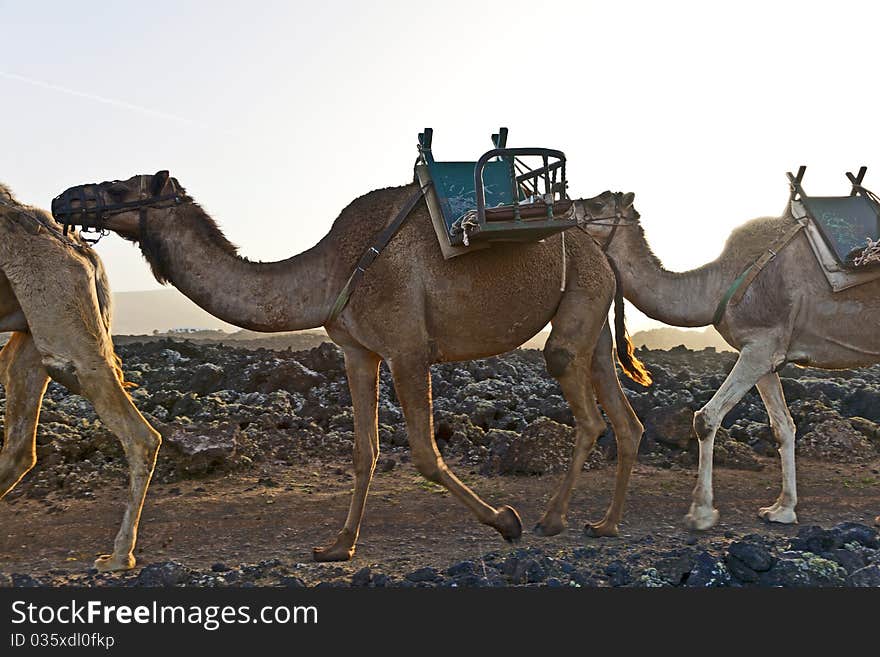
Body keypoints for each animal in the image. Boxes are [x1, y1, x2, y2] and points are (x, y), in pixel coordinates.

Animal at [0, 183, 162, 568]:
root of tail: (82, 250)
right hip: (35, 326)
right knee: (20, 446)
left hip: (62, 328)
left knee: (140, 436)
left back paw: (119, 556)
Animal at [51, 169, 648, 560]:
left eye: (119, 186)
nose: (63, 200)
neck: (332, 269)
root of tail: (601, 251)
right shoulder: (358, 351)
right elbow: (364, 451)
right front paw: (338, 545)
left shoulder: (407, 347)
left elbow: (425, 455)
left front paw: (505, 521)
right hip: (591, 317)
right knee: (624, 418)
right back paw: (605, 524)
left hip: (578, 307)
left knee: (585, 407)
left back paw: (551, 518)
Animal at [576, 191, 880, 532]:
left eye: (598, 203)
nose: (565, 208)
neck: (720, 284)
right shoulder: (764, 354)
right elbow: (783, 426)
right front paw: (782, 509)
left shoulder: (761, 345)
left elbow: (705, 418)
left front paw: (700, 512)